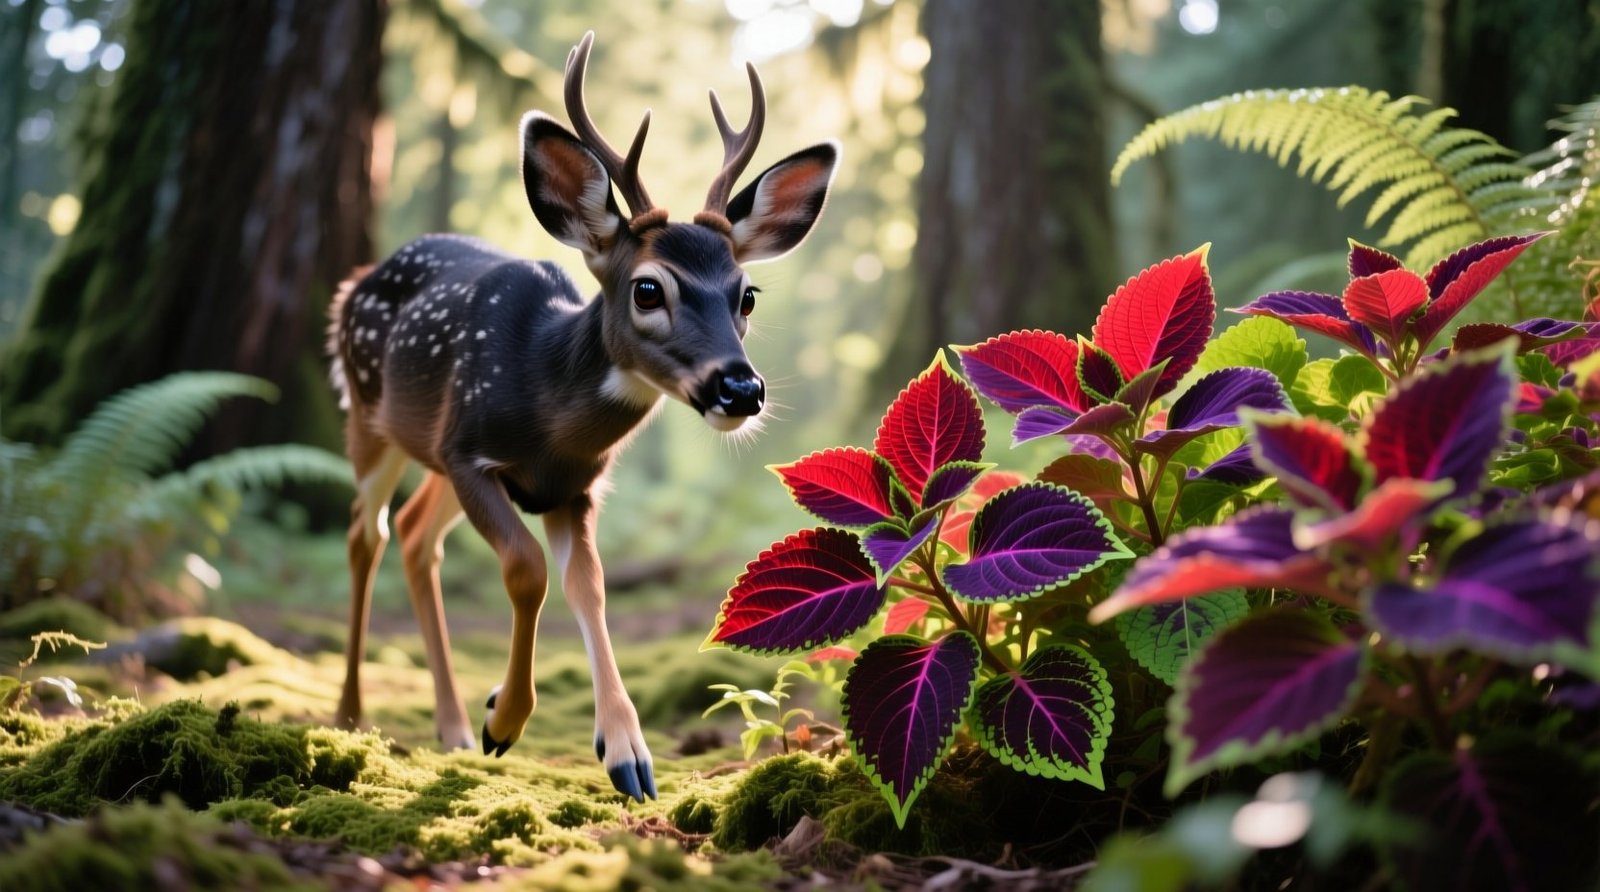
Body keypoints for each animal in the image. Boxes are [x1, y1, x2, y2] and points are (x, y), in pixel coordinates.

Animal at [326, 32, 838, 802]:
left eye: (746, 294)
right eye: (649, 288)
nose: (740, 389)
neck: (547, 412)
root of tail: (354, 283)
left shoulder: (577, 487)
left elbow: (589, 588)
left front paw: (626, 753)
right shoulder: (469, 451)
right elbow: (526, 568)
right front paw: (504, 719)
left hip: (428, 457)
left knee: (416, 537)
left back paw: (450, 727)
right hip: (369, 419)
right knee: (368, 533)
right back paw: (354, 715)